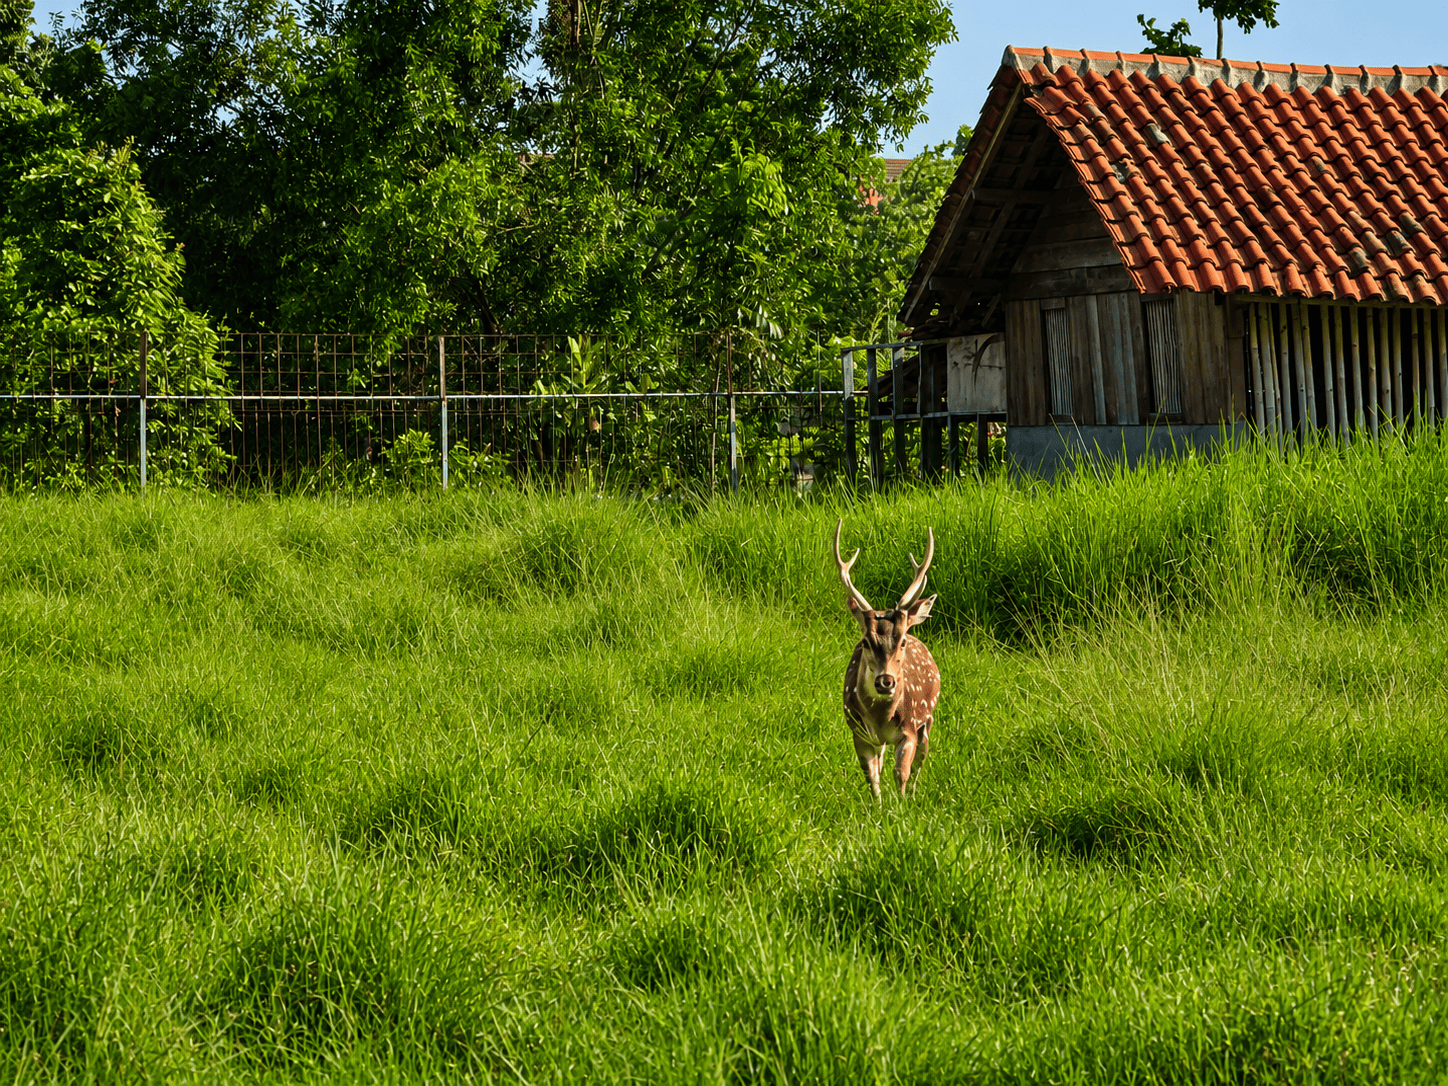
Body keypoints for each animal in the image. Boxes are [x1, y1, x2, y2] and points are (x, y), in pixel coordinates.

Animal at [833, 519, 940, 799]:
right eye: (866, 642)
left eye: (902, 641)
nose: (886, 681)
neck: (881, 718)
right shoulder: (858, 733)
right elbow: (872, 777)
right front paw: (877, 807)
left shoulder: (910, 730)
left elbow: (901, 773)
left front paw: (902, 805)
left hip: (927, 719)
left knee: (921, 760)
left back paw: (913, 794)